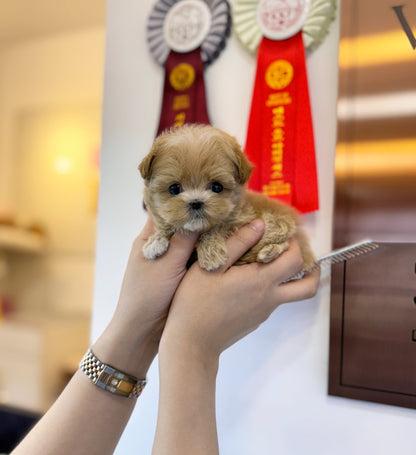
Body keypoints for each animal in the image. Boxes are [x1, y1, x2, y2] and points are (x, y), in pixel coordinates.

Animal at [138, 123, 314, 272]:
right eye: (174, 188)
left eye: (217, 187)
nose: (196, 203)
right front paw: (156, 241)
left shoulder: (241, 220)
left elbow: (217, 227)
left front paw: (210, 254)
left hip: (277, 221)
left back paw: (269, 251)